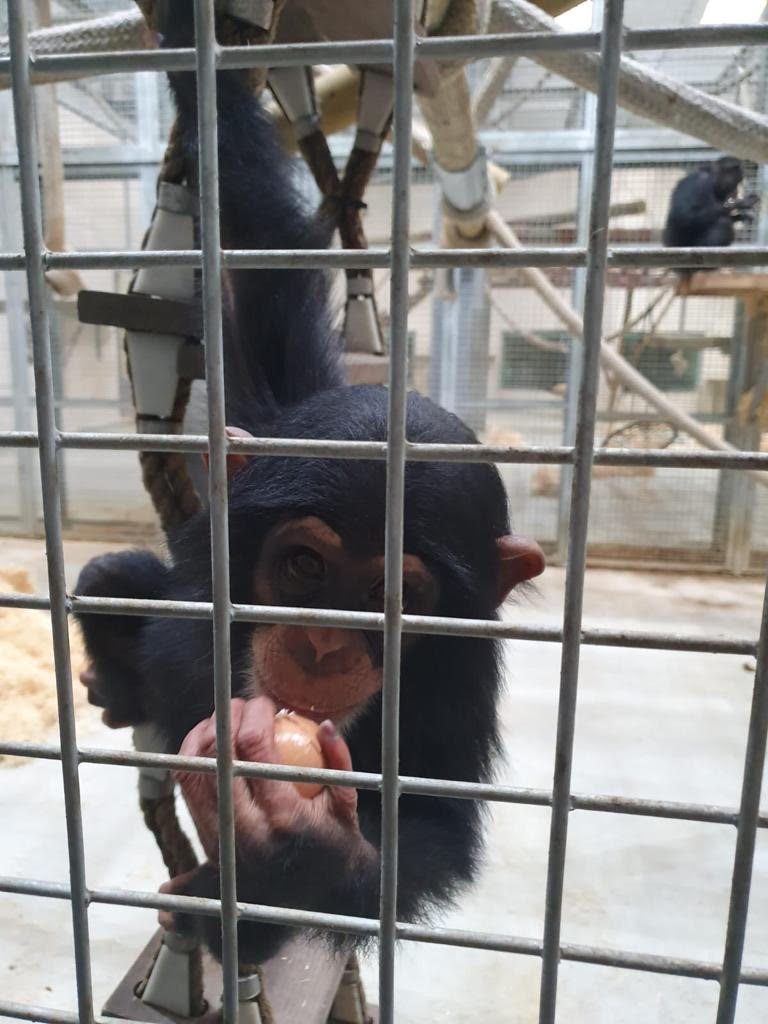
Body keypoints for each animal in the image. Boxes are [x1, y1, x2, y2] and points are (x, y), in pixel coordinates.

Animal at [70, 6, 540, 966]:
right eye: (303, 570)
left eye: (390, 597)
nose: (324, 646)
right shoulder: (280, 404)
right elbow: (263, 246)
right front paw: (199, 47)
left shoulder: (463, 673)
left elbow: (434, 824)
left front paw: (301, 856)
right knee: (113, 580)